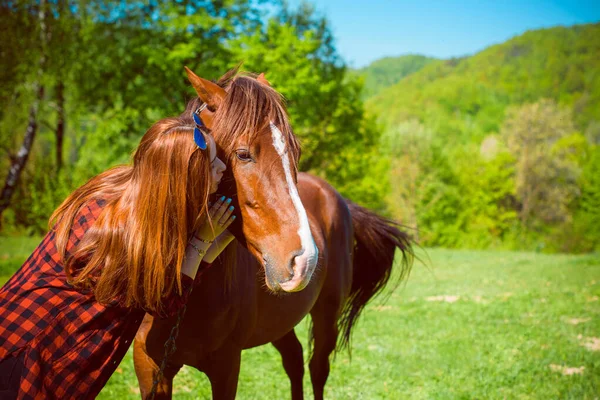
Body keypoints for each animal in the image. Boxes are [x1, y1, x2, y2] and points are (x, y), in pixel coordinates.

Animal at [134, 69, 412, 400]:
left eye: (296, 153)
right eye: (243, 154)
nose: (305, 260)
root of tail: (338, 199)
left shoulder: (226, 366)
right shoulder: (150, 368)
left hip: (327, 316)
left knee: (317, 369)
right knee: (294, 359)